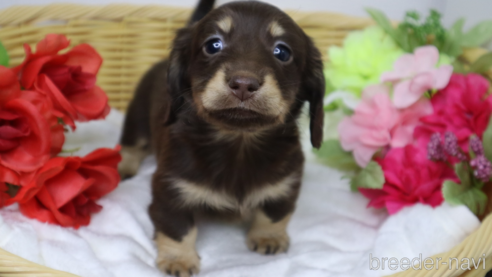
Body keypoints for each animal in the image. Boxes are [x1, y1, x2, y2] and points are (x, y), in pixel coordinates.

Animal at [119, 0, 324, 274]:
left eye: (282, 52)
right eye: (213, 45)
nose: (244, 84)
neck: (238, 142)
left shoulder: (286, 184)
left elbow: (274, 213)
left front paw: (268, 237)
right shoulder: (169, 191)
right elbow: (178, 229)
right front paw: (178, 260)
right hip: (137, 121)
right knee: (131, 147)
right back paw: (124, 167)